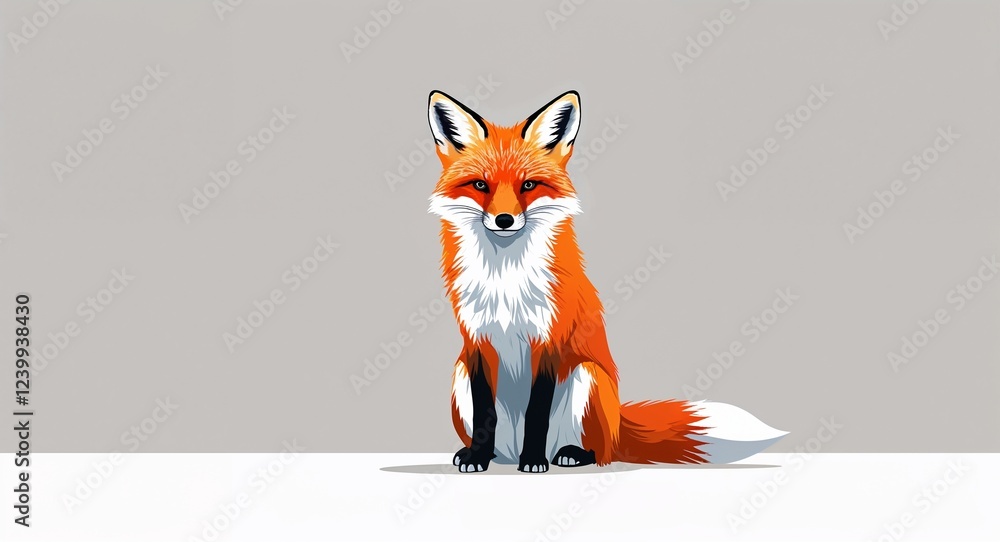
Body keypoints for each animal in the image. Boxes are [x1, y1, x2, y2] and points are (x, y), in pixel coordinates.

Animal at [426, 90, 787, 473]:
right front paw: (478, 457)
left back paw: (567, 454)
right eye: (481, 185)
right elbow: (485, 413)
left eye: (529, 185)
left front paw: (534, 460)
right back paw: (490, 454)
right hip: (459, 374)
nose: (505, 220)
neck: (505, 278)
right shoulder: (477, 342)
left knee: (601, 453)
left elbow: (537, 412)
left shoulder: (551, 340)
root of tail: (618, 423)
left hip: (587, 376)